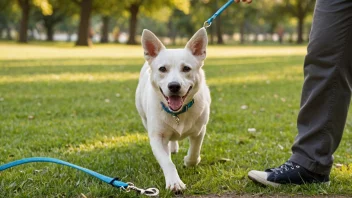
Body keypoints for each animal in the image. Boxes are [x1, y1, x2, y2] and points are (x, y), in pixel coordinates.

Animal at [136, 27, 210, 191]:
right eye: (162, 69)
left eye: (186, 68)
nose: (174, 86)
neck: (178, 113)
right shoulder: (157, 137)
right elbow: (167, 161)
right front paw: (174, 182)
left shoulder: (200, 130)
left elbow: (195, 151)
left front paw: (189, 161)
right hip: (143, 117)